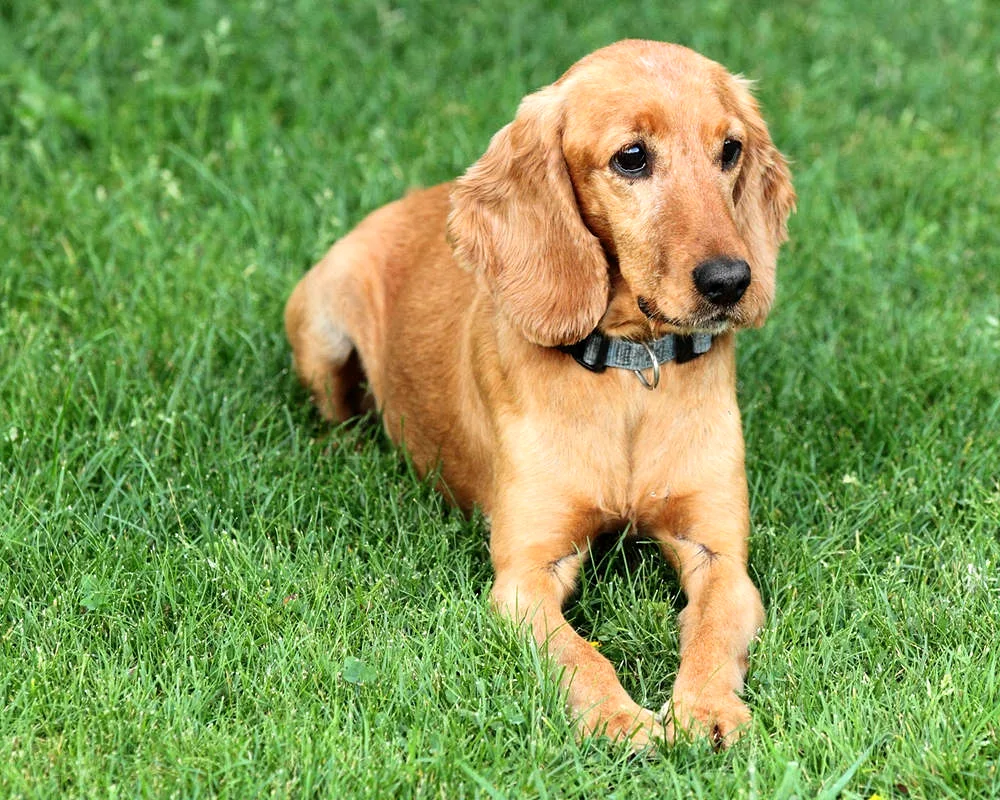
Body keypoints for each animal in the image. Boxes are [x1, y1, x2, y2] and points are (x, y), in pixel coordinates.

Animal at [284, 39, 796, 752]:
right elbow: (581, 655)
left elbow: (713, 630)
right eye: (631, 157)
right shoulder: (526, 575)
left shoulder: (718, 553)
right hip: (322, 325)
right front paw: (619, 718)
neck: (632, 375)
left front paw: (706, 708)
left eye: (730, 149)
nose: (731, 281)